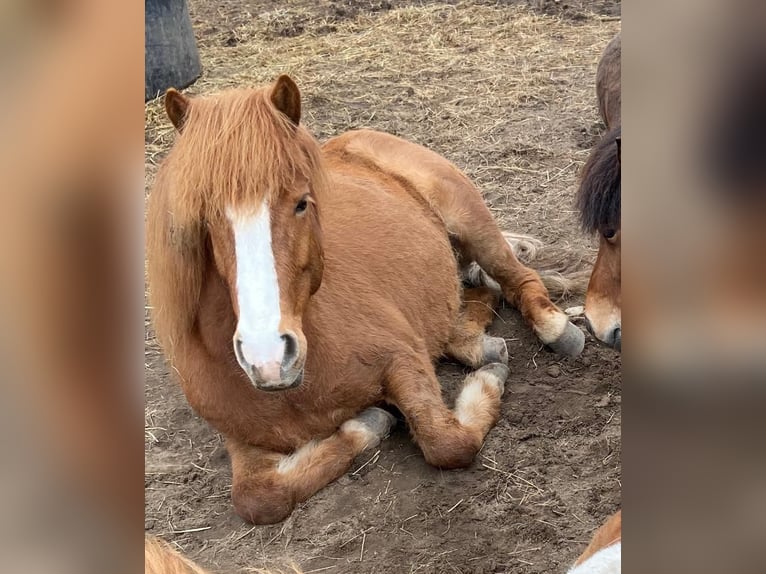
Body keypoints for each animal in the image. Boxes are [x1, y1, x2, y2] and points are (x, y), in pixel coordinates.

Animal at [147, 75, 584, 528]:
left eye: (302, 202)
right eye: (207, 218)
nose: (267, 358)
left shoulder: (401, 359)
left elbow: (446, 441)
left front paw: (484, 385)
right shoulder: (243, 437)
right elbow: (259, 499)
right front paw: (368, 423)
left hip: (471, 220)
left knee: (516, 279)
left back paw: (556, 331)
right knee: (478, 294)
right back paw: (476, 344)